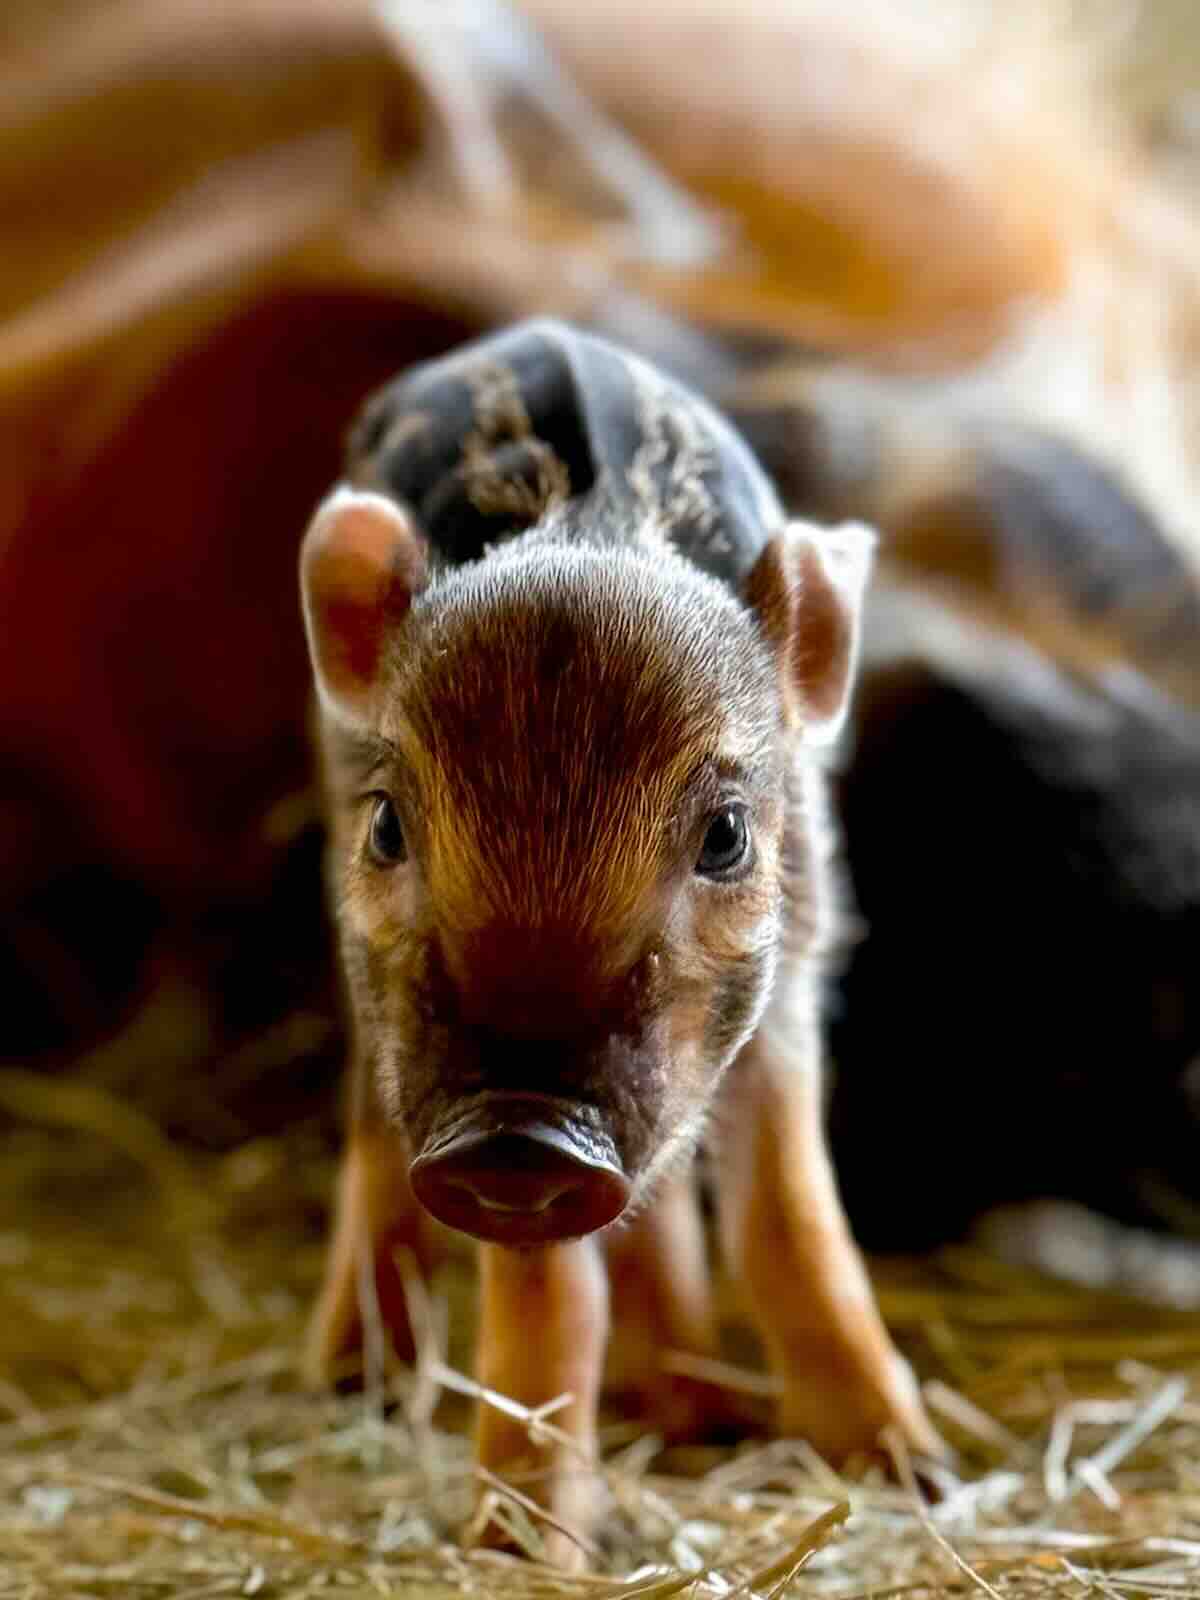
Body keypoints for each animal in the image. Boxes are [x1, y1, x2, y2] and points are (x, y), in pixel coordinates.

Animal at [298, 319, 937, 1563]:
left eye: (728, 834)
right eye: (392, 825)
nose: (521, 1132)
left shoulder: (795, 969)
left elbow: (789, 1210)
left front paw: (913, 1472)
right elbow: (550, 1289)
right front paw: (520, 1545)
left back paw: (689, 1405)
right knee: (373, 1139)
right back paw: (355, 1383)